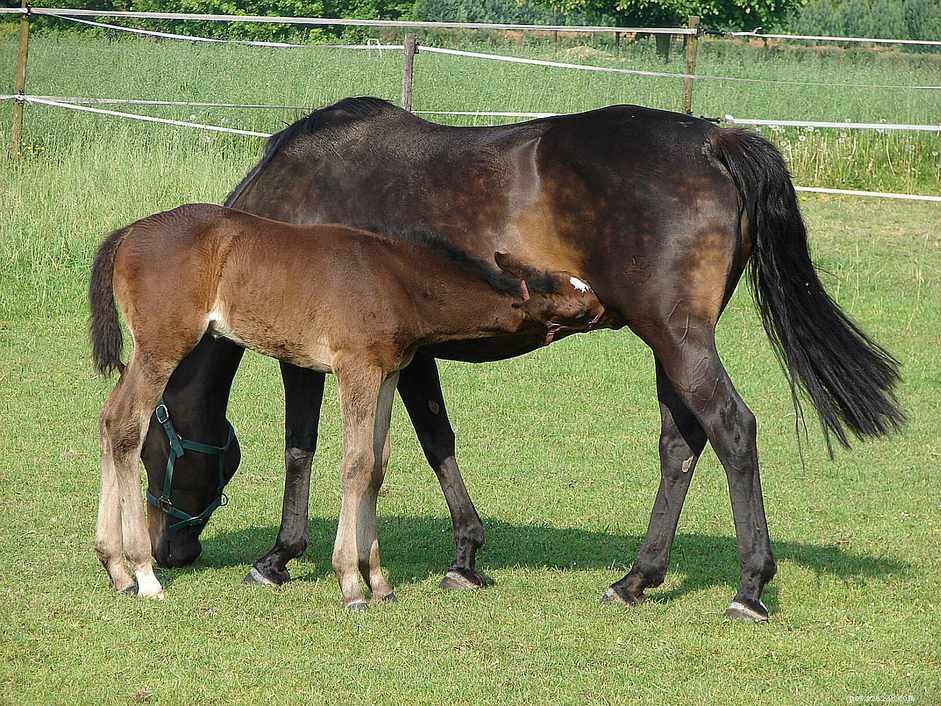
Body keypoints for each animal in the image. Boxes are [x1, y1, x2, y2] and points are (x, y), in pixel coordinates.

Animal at [88, 203, 605, 606]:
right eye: (571, 299)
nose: (604, 306)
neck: (397, 280)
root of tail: (127, 233)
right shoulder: (355, 368)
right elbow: (355, 464)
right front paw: (351, 583)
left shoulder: (387, 373)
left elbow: (377, 464)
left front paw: (378, 581)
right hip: (162, 346)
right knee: (129, 425)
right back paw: (144, 574)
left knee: (110, 419)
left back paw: (115, 569)